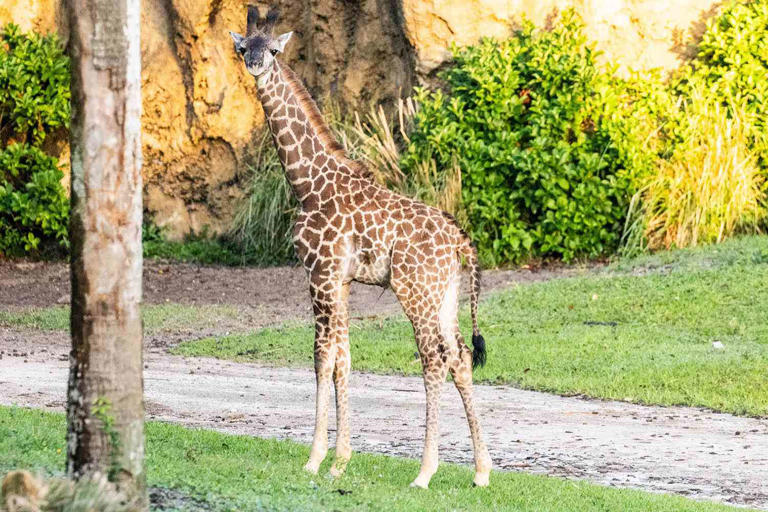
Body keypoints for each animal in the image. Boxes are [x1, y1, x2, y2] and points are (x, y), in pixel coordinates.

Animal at [230, 5, 492, 489]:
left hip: (415, 292)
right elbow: (344, 358)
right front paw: (340, 461)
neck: (306, 184)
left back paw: (424, 473)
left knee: (433, 359)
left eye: (273, 50)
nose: (255, 65)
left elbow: (322, 357)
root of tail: (459, 241)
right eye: (243, 48)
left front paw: (315, 459)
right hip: (445, 294)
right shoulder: (343, 280)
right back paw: (482, 472)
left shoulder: (319, 271)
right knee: (461, 356)